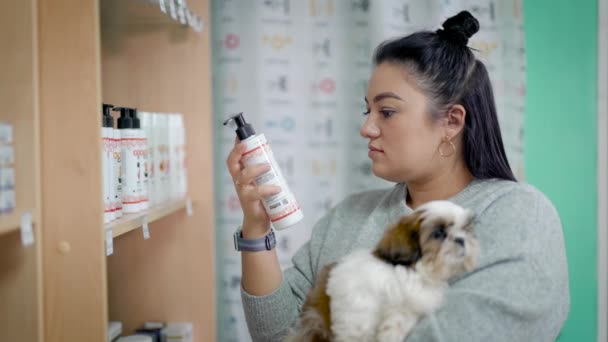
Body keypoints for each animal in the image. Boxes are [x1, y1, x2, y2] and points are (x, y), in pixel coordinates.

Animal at [284, 200, 480, 342]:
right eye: (438, 233)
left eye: (465, 230)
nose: (461, 239)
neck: (412, 274)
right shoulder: (356, 299)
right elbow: (357, 323)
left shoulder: (413, 305)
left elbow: (402, 318)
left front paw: (391, 333)